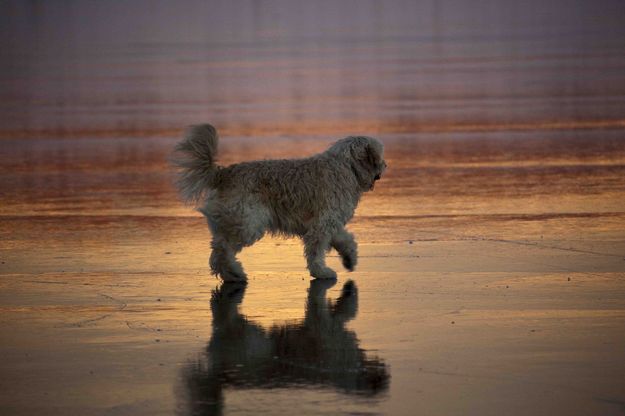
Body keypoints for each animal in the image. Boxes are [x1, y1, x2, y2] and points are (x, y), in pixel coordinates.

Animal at [172, 122, 386, 280]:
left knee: (218, 249)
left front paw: (349, 258)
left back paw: (230, 274)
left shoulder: (329, 222)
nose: (385, 165)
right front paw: (321, 272)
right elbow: (316, 251)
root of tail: (224, 172)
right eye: (379, 155)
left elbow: (344, 239)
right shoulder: (322, 224)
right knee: (222, 247)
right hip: (248, 223)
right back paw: (234, 272)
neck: (346, 166)